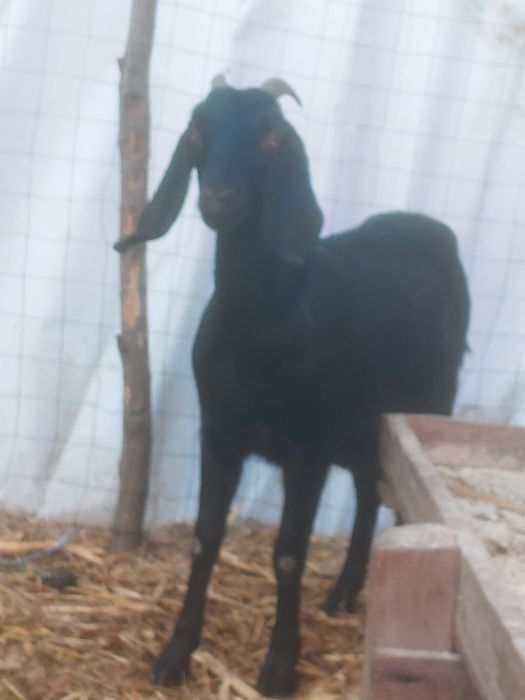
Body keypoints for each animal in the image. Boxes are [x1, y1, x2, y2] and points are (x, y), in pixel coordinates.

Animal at [114, 75, 470, 697]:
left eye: (271, 137)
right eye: (197, 131)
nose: (220, 198)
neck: (262, 328)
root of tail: (430, 228)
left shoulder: (307, 449)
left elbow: (287, 554)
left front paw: (280, 665)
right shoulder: (220, 434)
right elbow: (206, 537)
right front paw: (176, 652)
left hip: (424, 405)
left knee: (399, 500)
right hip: (362, 426)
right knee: (369, 491)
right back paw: (344, 591)